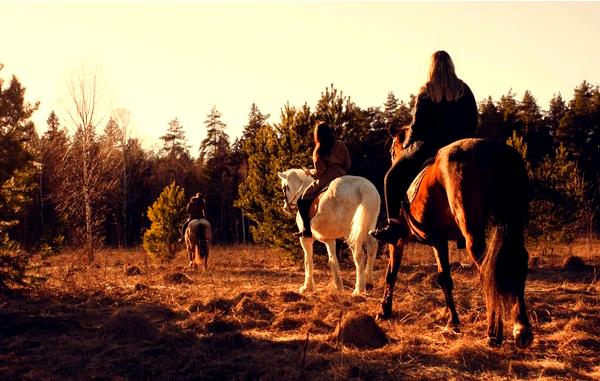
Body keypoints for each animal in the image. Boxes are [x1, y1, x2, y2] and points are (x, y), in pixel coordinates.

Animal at [276, 168, 380, 296]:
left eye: (284, 187)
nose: (286, 208)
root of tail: (364, 187)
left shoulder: (305, 239)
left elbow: (308, 261)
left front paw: (307, 287)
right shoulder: (329, 240)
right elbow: (332, 261)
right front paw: (338, 286)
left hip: (351, 234)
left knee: (359, 255)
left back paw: (358, 290)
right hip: (368, 228)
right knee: (372, 248)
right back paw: (369, 283)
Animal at [382, 129, 532, 348]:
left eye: (392, 150)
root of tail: (497, 151)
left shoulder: (402, 240)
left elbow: (392, 273)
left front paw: (384, 309)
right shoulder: (439, 241)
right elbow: (445, 279)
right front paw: (453, 321)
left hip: (472, 231)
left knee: (487, 270)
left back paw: (494, 332)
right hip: (513, 223)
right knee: (517, 261)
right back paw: (522, 329)